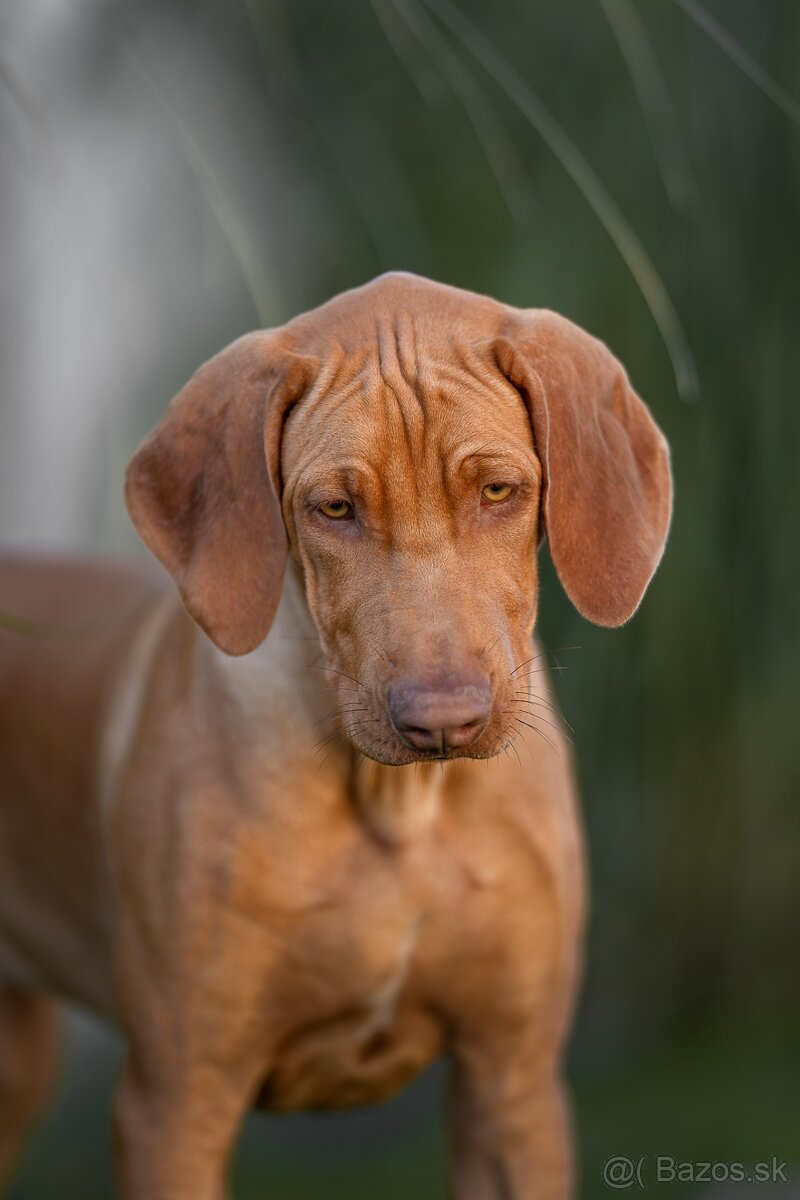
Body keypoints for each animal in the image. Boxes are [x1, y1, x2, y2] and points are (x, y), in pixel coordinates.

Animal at [0, 274, 671, 1200]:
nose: (442, 721)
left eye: (499, 491)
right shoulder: (175, 1104)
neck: (399, 809)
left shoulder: (512, 1081)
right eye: (335, 509)